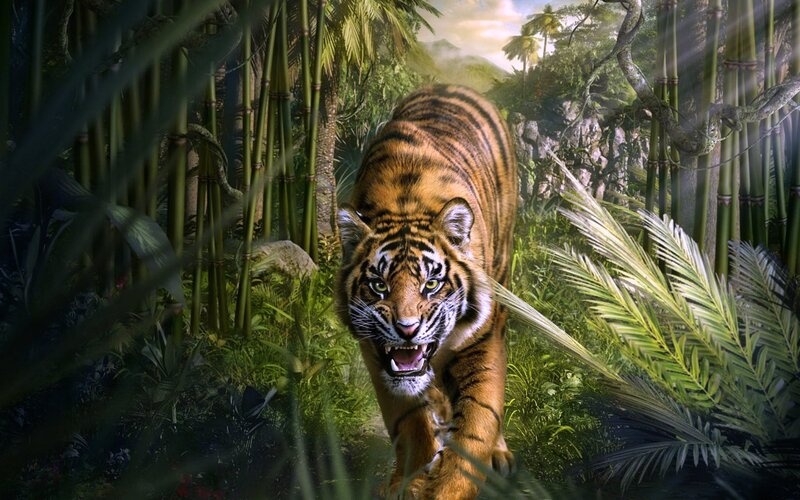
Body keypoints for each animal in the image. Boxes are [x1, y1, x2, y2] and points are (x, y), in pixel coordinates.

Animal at [336, 84, 518, 499]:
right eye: (379, 285)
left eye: (431, 284)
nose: (407, 330)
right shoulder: (375, 352)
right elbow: (409, 417)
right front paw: (411, 479)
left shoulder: (482, 341)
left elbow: (478, 424)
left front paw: (448, 485)